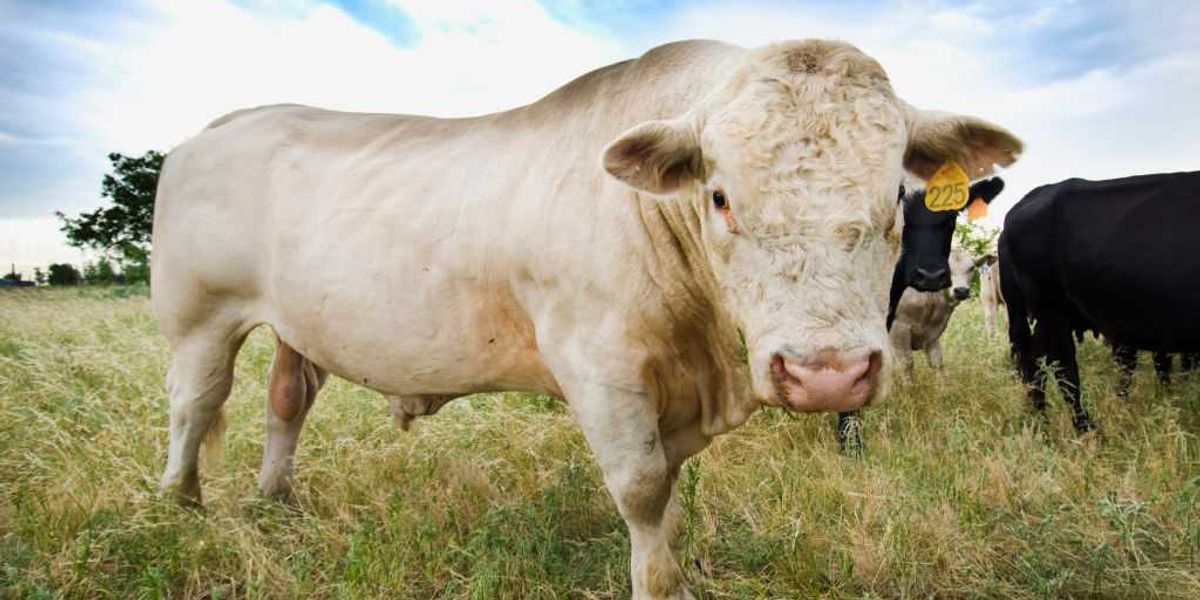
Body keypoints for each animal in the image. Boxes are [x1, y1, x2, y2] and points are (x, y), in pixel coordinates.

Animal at [152, 39, 1021, 598]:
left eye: (894, 200)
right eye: (720, 196)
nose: (827, 374)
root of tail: (224, 125)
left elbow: (668, 493)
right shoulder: (602, 373)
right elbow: (642, 489)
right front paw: (659, 583)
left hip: (294, 325)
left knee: (285, 402)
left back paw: (274, 500)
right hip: (198, 318)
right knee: (194, 405)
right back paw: (181, 505)